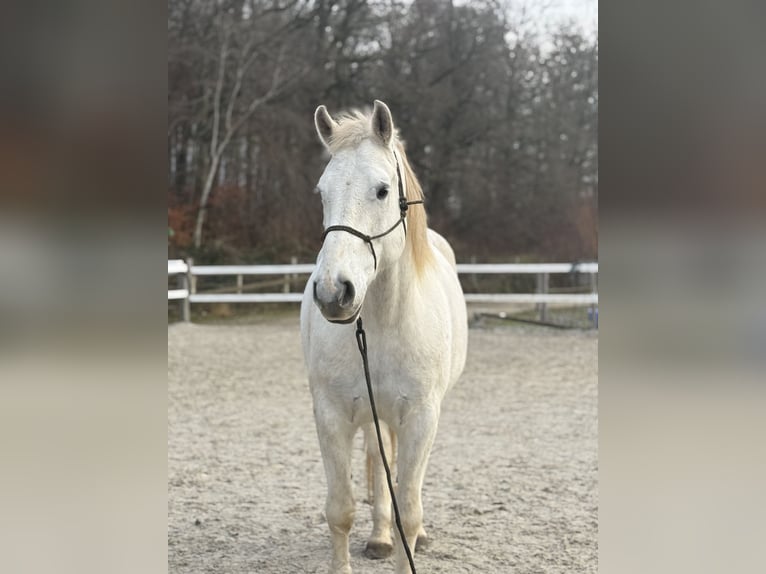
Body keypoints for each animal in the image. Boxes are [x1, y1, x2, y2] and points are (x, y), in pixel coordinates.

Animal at [300, 101, 468, 572]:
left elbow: (408, 511)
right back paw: (377, 538)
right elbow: (340, 510)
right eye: (322, 193)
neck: (381, 324)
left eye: (381, 190)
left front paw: (411, 535)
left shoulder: (421, 417)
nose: (333, 291)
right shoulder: (331, 414)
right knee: (380, 461)